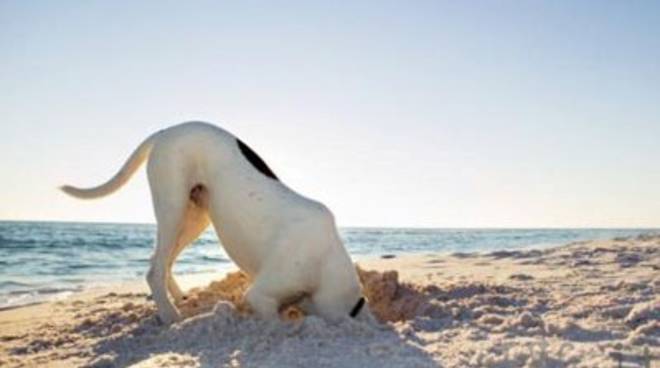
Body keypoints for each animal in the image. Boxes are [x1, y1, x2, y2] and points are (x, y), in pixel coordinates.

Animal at [61, 122, 366, 324]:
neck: (326, 259)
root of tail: (167, 130)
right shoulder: (260, 295)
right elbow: (273, 321)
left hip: (195, 217)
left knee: (162, 261)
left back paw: (181, 299)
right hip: (173, 207)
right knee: (155, 269)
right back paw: (172, 317)